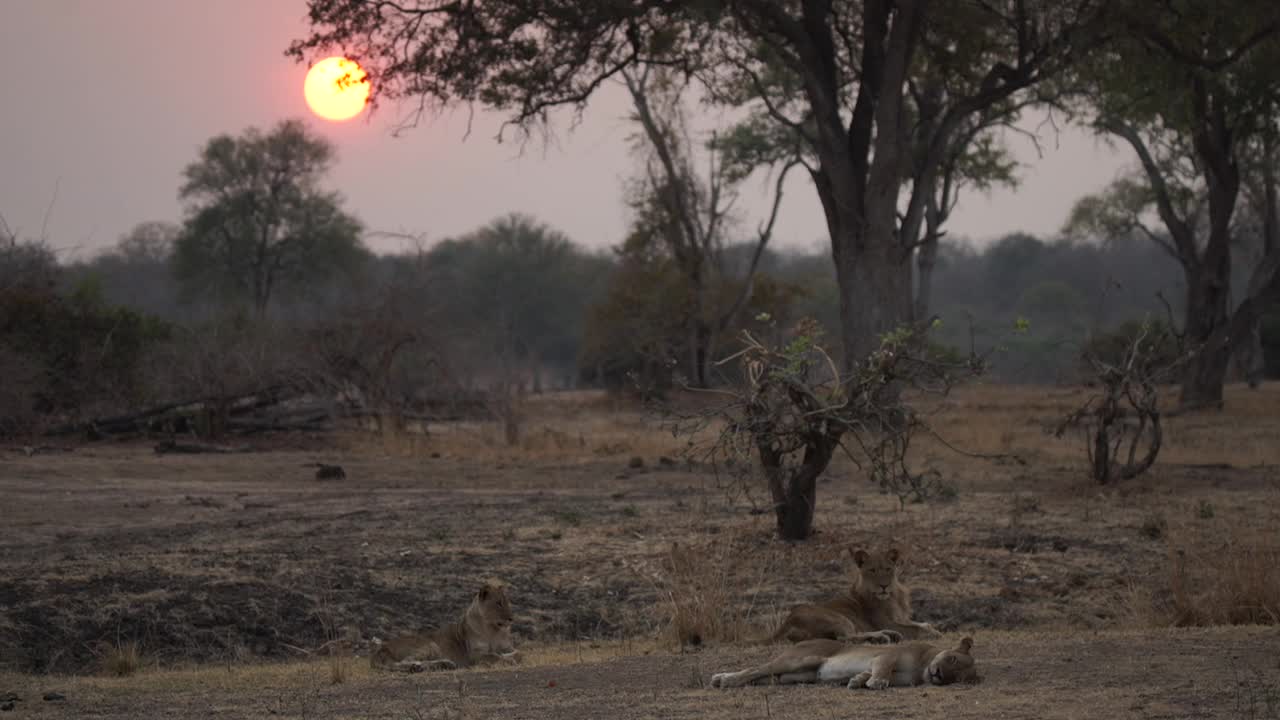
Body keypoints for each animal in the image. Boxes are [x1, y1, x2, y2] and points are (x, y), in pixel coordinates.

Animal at [368, 573, 517, 671]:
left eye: (508, 602)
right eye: (498, 603)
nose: (511, 618)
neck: (493, 629)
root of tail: (381, 648)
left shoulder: (507, 647)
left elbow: (517, 653)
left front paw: (512, 656)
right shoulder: (475, 655)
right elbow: (494, 655)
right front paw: (507, 659)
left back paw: (444, 664)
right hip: (429, 644)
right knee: (403, 662)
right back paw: (419, 666)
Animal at [768, 545, 942, 640]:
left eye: (888, 569)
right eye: (872, 570)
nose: (884, 585)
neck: (893, 596)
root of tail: (786, 623)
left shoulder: (901, 619)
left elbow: (924, 624)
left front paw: (933, 629)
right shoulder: (886, 622)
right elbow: (917, 629)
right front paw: (936, 634)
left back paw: (889, 635)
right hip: (837, 618)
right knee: (845, 637)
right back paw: (881, 638)